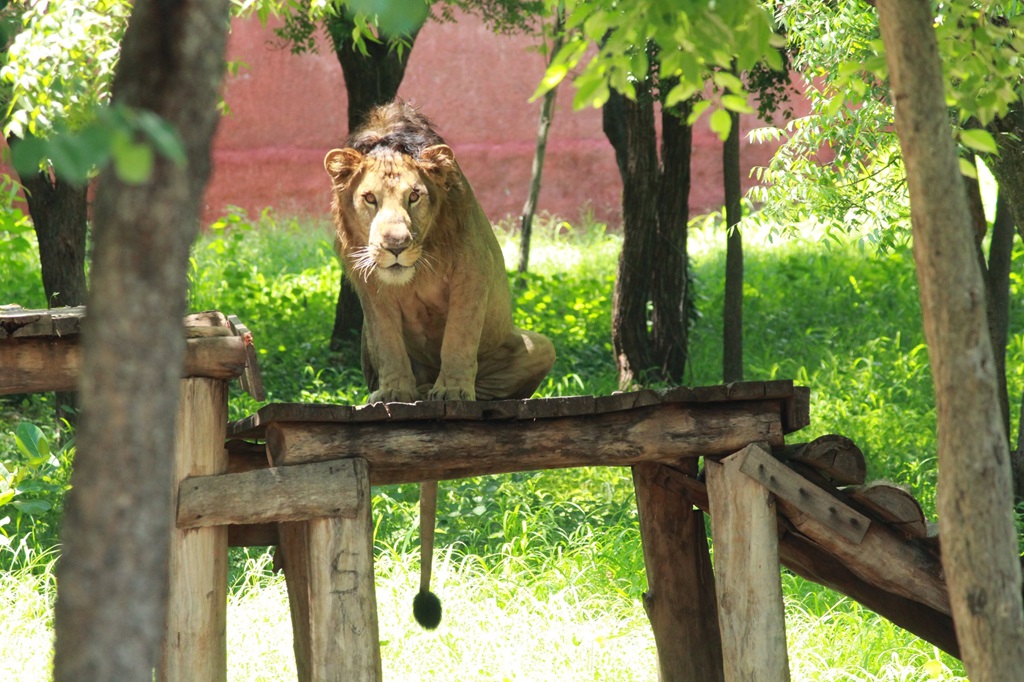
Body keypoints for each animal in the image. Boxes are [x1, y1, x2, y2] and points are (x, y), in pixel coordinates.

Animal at [323, 99, 557, 626]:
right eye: (369, 199)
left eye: (414, 197)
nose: (394, 244)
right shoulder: (363, 274)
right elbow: (388, 336)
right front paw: (393, 391)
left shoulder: (472, 267)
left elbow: (459, 335)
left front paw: (453, 390)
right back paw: (402, 389)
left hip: (541, 345)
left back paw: (446, 392)